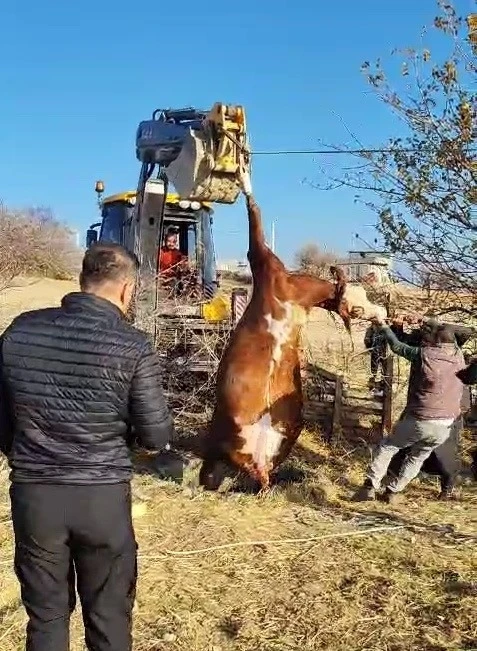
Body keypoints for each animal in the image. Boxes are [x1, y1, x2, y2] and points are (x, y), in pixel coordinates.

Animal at [199, 192, 384, 488]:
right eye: (356, 307)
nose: (382, 314)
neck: (294, 291)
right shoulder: (262, 260)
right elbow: (254, 219)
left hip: (287, 431)